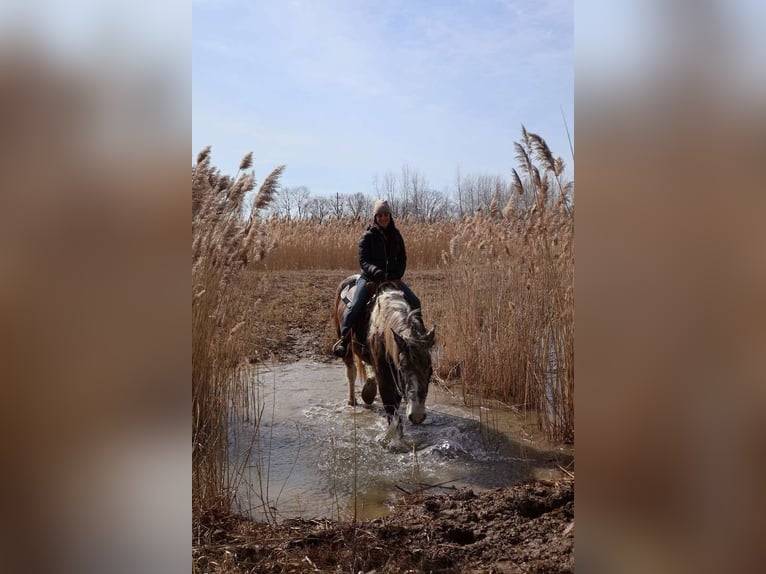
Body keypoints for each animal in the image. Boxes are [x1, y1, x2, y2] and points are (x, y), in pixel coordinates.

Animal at [332, 274, 436, 436]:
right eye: (403, 368)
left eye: (430, 370)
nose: (417, 415)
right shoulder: (385, 377)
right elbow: (391, 410)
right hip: (346, 347)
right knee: (351, 372)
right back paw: (353, 400)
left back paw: (368, 391)